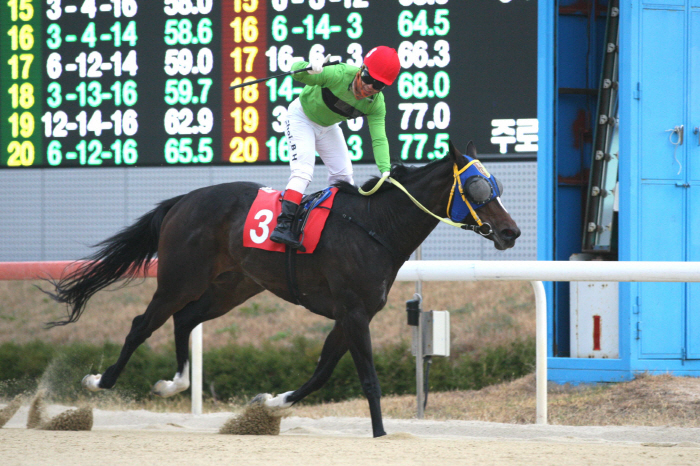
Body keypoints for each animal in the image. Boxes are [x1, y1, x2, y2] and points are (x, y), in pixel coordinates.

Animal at [47, 141, 520, 436]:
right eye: (478, 188)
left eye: (496, 185)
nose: (511, 232)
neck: (375, 226)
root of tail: (182, 201)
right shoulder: (353, 312)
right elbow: (367, 379)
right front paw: (382, 434)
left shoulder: (352, 314)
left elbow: (323, 371)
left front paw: (271, 403)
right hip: (180, 278)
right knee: (142, 324)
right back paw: (100, 381)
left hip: (232, 286)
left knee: (184, 320)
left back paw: (172, 384)